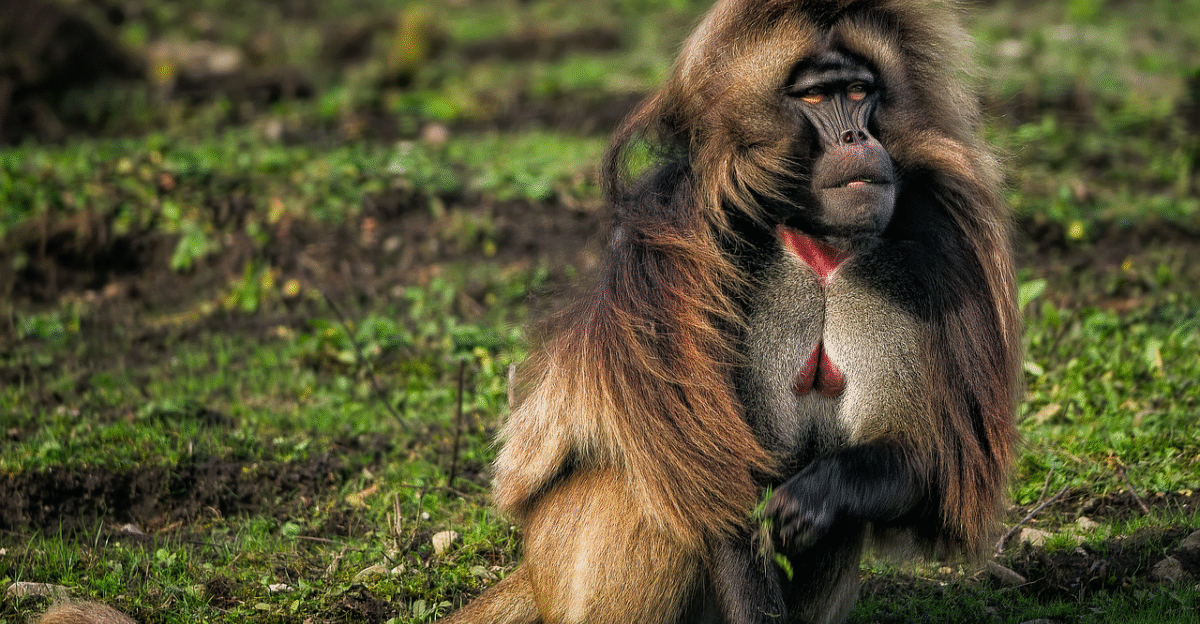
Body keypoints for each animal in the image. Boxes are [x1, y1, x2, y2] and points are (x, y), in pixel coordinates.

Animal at [439, 1, 1020, 623]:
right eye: (816, 96)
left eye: (860, 90)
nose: (856, 135)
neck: (814, 238)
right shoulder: (679, 247)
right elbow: (720, 491)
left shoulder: (940, 244)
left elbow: (927, 462)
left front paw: (820, 493)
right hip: (562, 550)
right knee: (654, 489)